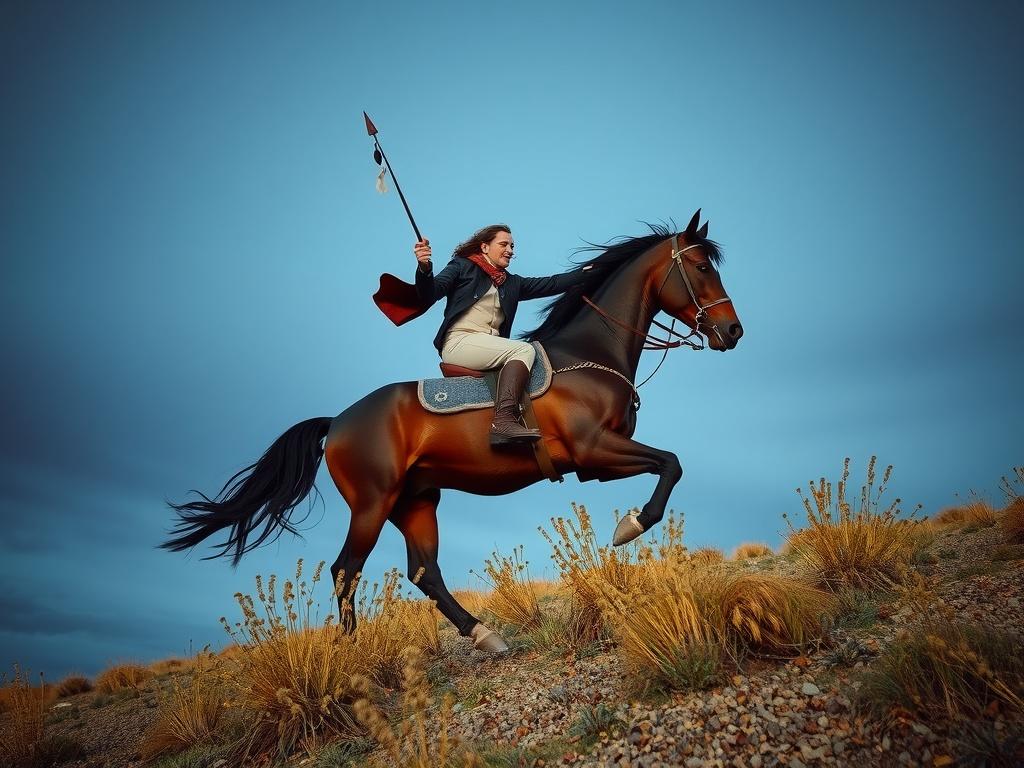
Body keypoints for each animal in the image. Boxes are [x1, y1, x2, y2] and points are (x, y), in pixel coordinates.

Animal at [165, 214, 745, 651]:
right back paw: (351, 655)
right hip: (373, 503)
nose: (733, 331)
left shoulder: (599, 464)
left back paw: (483, 634)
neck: (589, 355)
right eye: (699, 266)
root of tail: (340, 420)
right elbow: (671, 463)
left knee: (425, 572)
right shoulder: (595, 450)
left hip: (417, 501)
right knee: (346, 570)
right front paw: (631, 525)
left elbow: (668, 464)